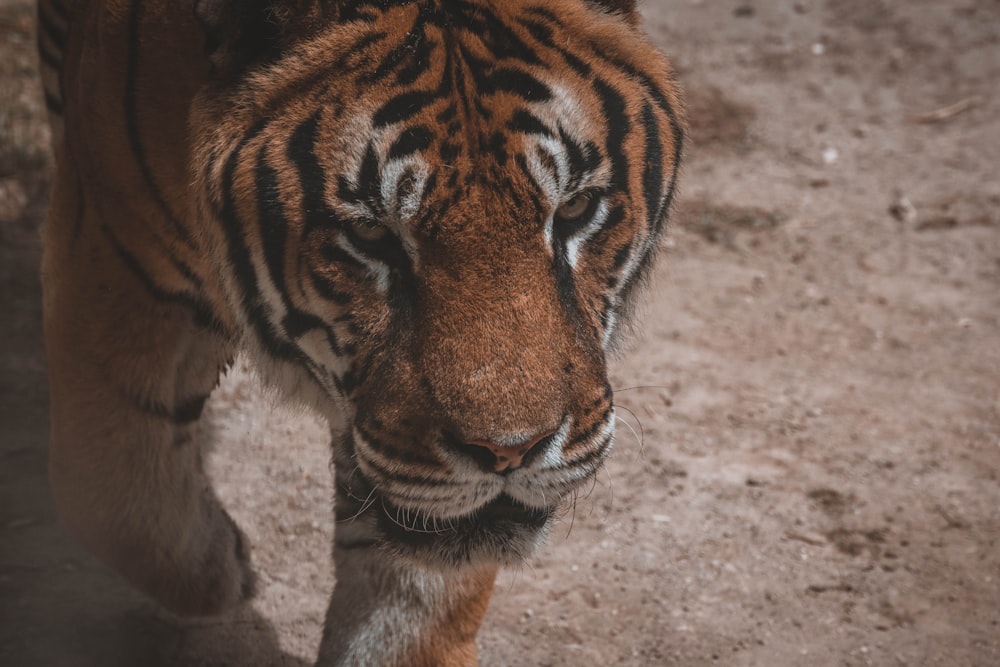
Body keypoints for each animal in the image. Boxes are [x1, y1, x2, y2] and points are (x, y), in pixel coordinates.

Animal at [37, 0, 680, 664]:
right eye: (372, 234)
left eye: (575, 209)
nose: (511, 452)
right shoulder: (119, 249)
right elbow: (109, 490)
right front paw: (225, 568)